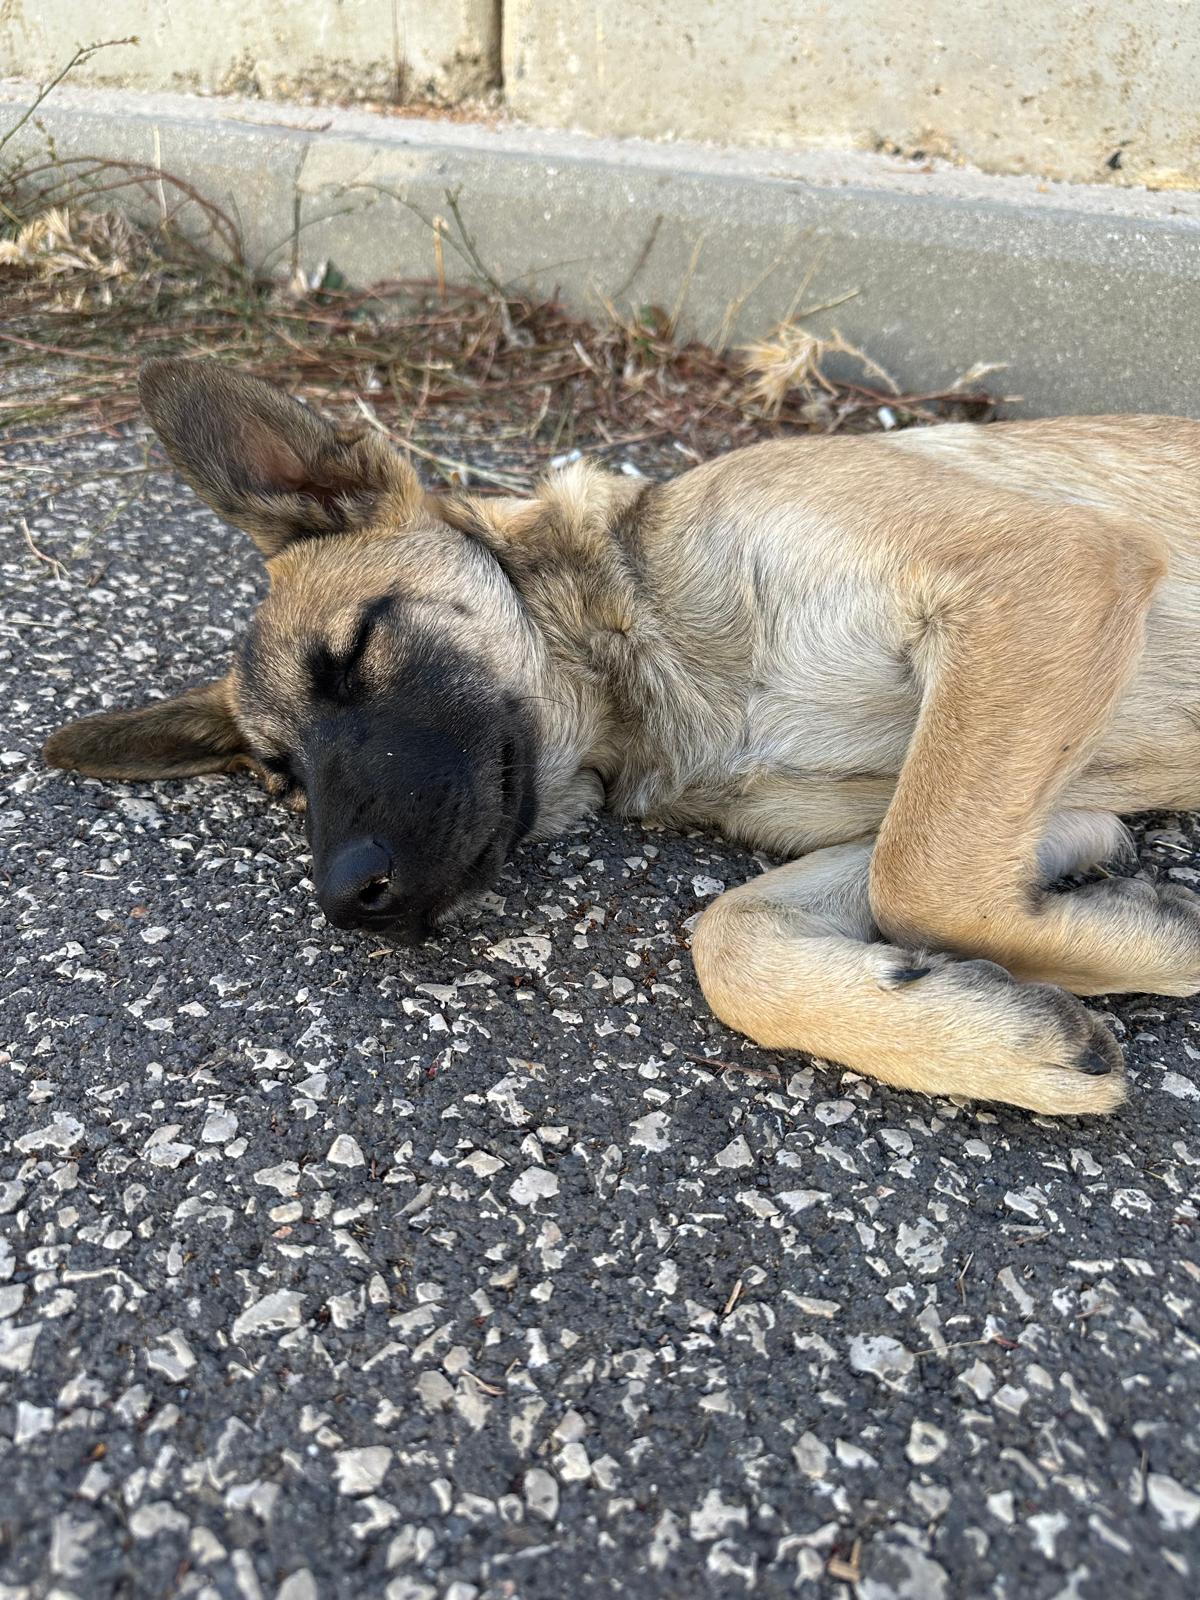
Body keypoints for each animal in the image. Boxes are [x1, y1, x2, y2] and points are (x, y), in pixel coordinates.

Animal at [40, 361, 1200, 1113]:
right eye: (284, 779)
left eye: (357, 650)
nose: (344, 896)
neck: (646, 659)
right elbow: (736, 939)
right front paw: (1006, 1010)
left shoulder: (1044, 571)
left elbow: (923, 878)